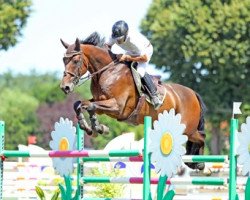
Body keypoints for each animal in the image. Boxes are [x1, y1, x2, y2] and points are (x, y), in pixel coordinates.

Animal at [59, 32, 206, 170]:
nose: (65, 87)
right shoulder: (101, 103)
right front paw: (93, 127)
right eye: (64, 60)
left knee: (202, 137)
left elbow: (89, 105)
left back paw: (199, 163)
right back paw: (194, 162)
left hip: (187, 129)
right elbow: (81, 104)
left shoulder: (117, 107)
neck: (108, 72)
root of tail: (193, 93)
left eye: (76, 60)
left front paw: (96, 127)